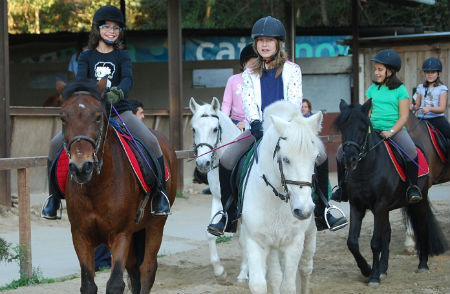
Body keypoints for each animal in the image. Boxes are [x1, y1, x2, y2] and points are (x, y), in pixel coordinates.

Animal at [59, 78, 178, 294]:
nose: (81, 167)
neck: (96, 187)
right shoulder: (80, 236)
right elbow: (88, 285)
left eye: (98, 117)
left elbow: (115, 284)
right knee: (134, 270)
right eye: (63, 118)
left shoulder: (120, 234)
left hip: (156, 224)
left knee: (147, 268)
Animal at [187, 97, 241, 280]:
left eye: (215, 129)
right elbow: (210, 234)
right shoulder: (220, 199)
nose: (203, 163)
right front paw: (219, 271)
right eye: (193, 129)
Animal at [241, 100, 322, 294]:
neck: (275, 197)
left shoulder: (294, 242)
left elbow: (289, 286)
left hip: (310, 233)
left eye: (315, 157)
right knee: (276, 276)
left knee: (306, 268)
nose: (304, 210)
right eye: (285, 159)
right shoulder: (257, 240)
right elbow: (260, 284)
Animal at [334, 99, 446, 284]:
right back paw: (383, 269)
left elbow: (375, 242)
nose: (349, 160)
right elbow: (352, 242)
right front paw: (367, 269)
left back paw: (422, 264)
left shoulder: (380, 205)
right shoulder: (357, 206)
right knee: (387, 234)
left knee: (422, 227)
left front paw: (373, 277)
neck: (367, 169)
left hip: (418, 201)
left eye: (363, 128)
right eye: (343, 128)